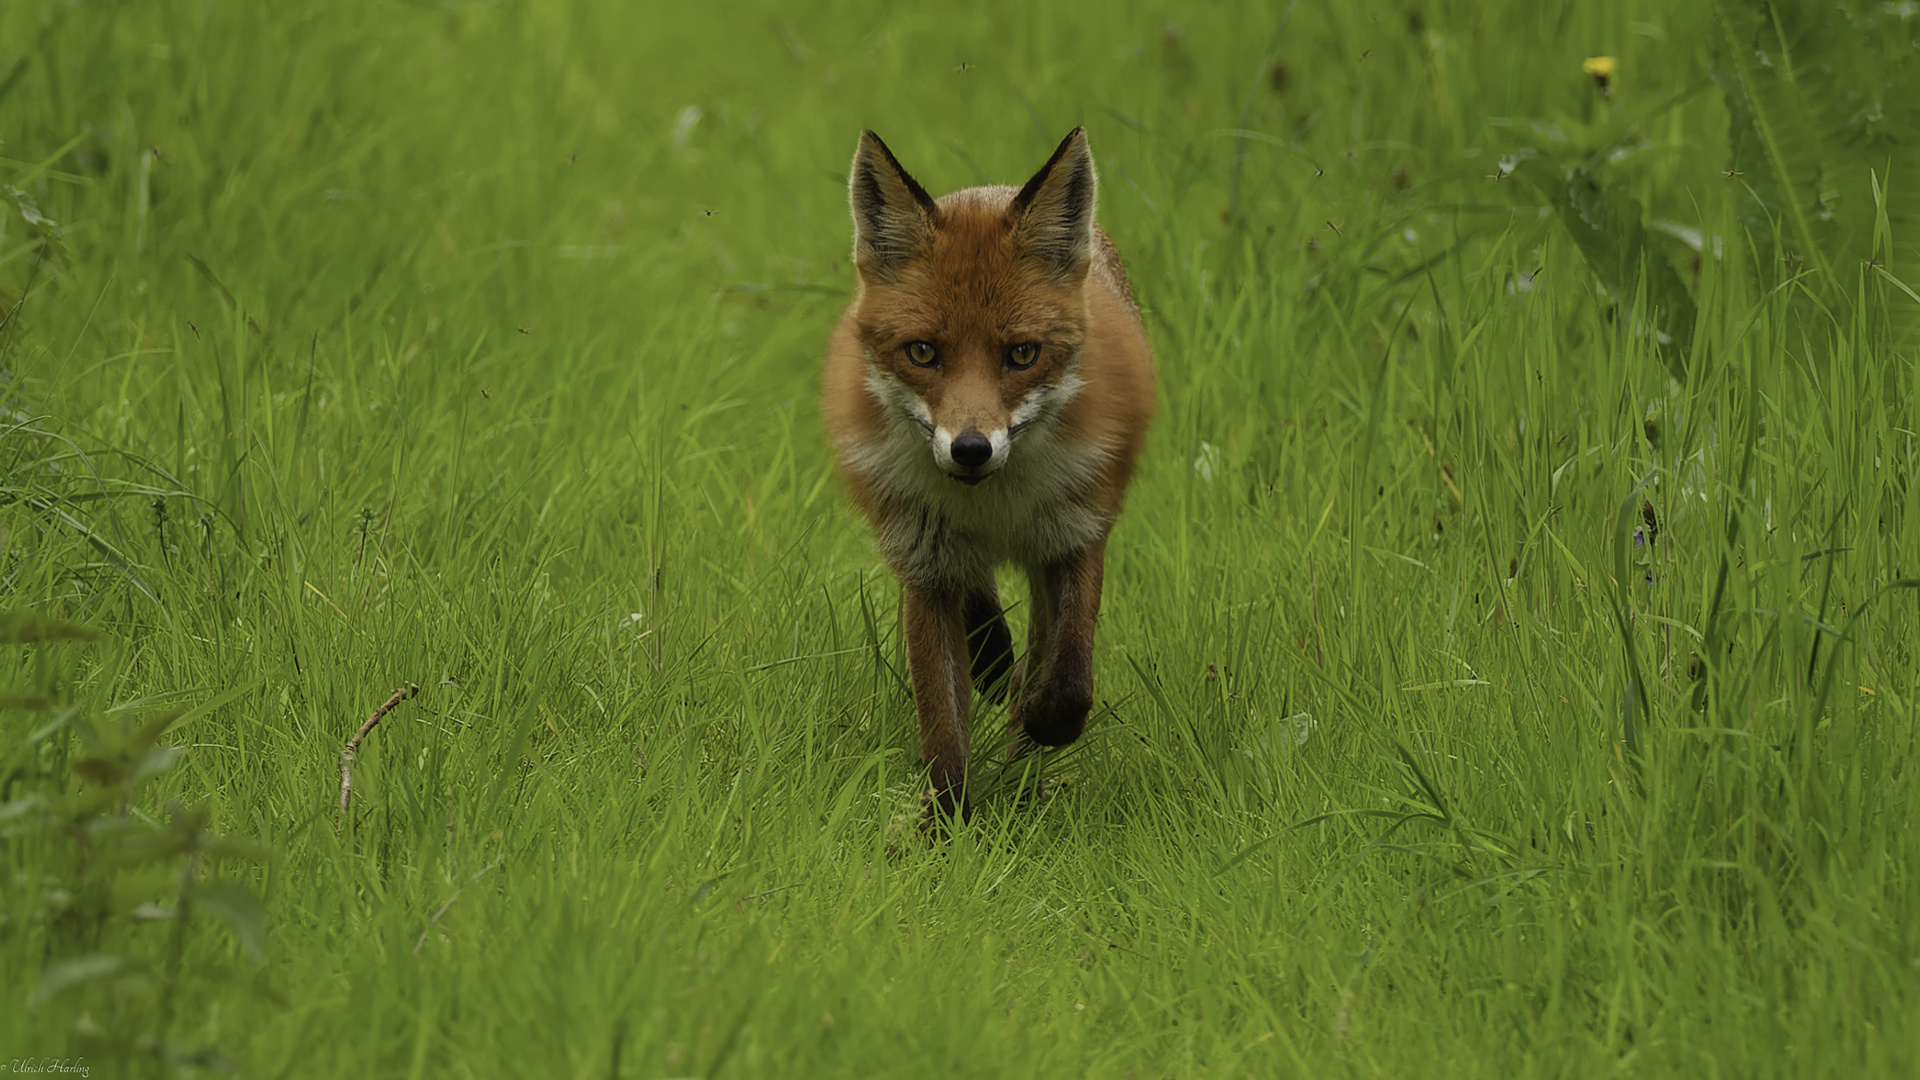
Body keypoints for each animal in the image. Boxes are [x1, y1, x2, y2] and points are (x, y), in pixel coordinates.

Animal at [814, 125, 1144, 814]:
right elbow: (943, 725)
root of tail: (988, 189)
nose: (970, 449)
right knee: (985, 608)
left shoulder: (1077, 531)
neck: (997, 505)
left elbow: (1069, 678)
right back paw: (993, 657)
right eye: (922, 352)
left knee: (1041, 645)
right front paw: (947, 823)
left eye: (1022, 354)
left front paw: (1044, 724)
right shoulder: (924, 562)